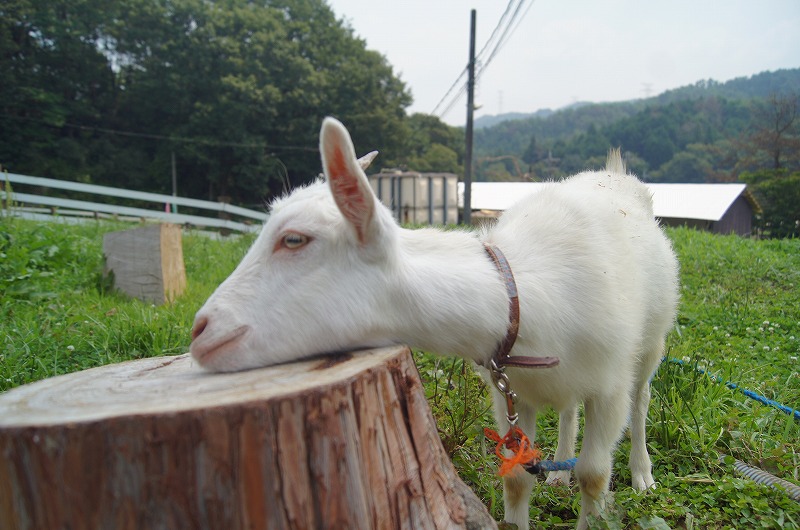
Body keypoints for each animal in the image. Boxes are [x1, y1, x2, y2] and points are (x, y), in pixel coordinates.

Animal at [191, 116, 680, 528]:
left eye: (294, 240)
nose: (200, 331)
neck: (518, 294)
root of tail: (615, 172)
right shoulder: (510, 393)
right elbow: (516, 476)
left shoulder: (609, 385)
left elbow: (595, 474)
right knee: (568, 409)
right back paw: (559, 471)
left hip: (651, 341)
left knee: (641, 400)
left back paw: (642, 474)